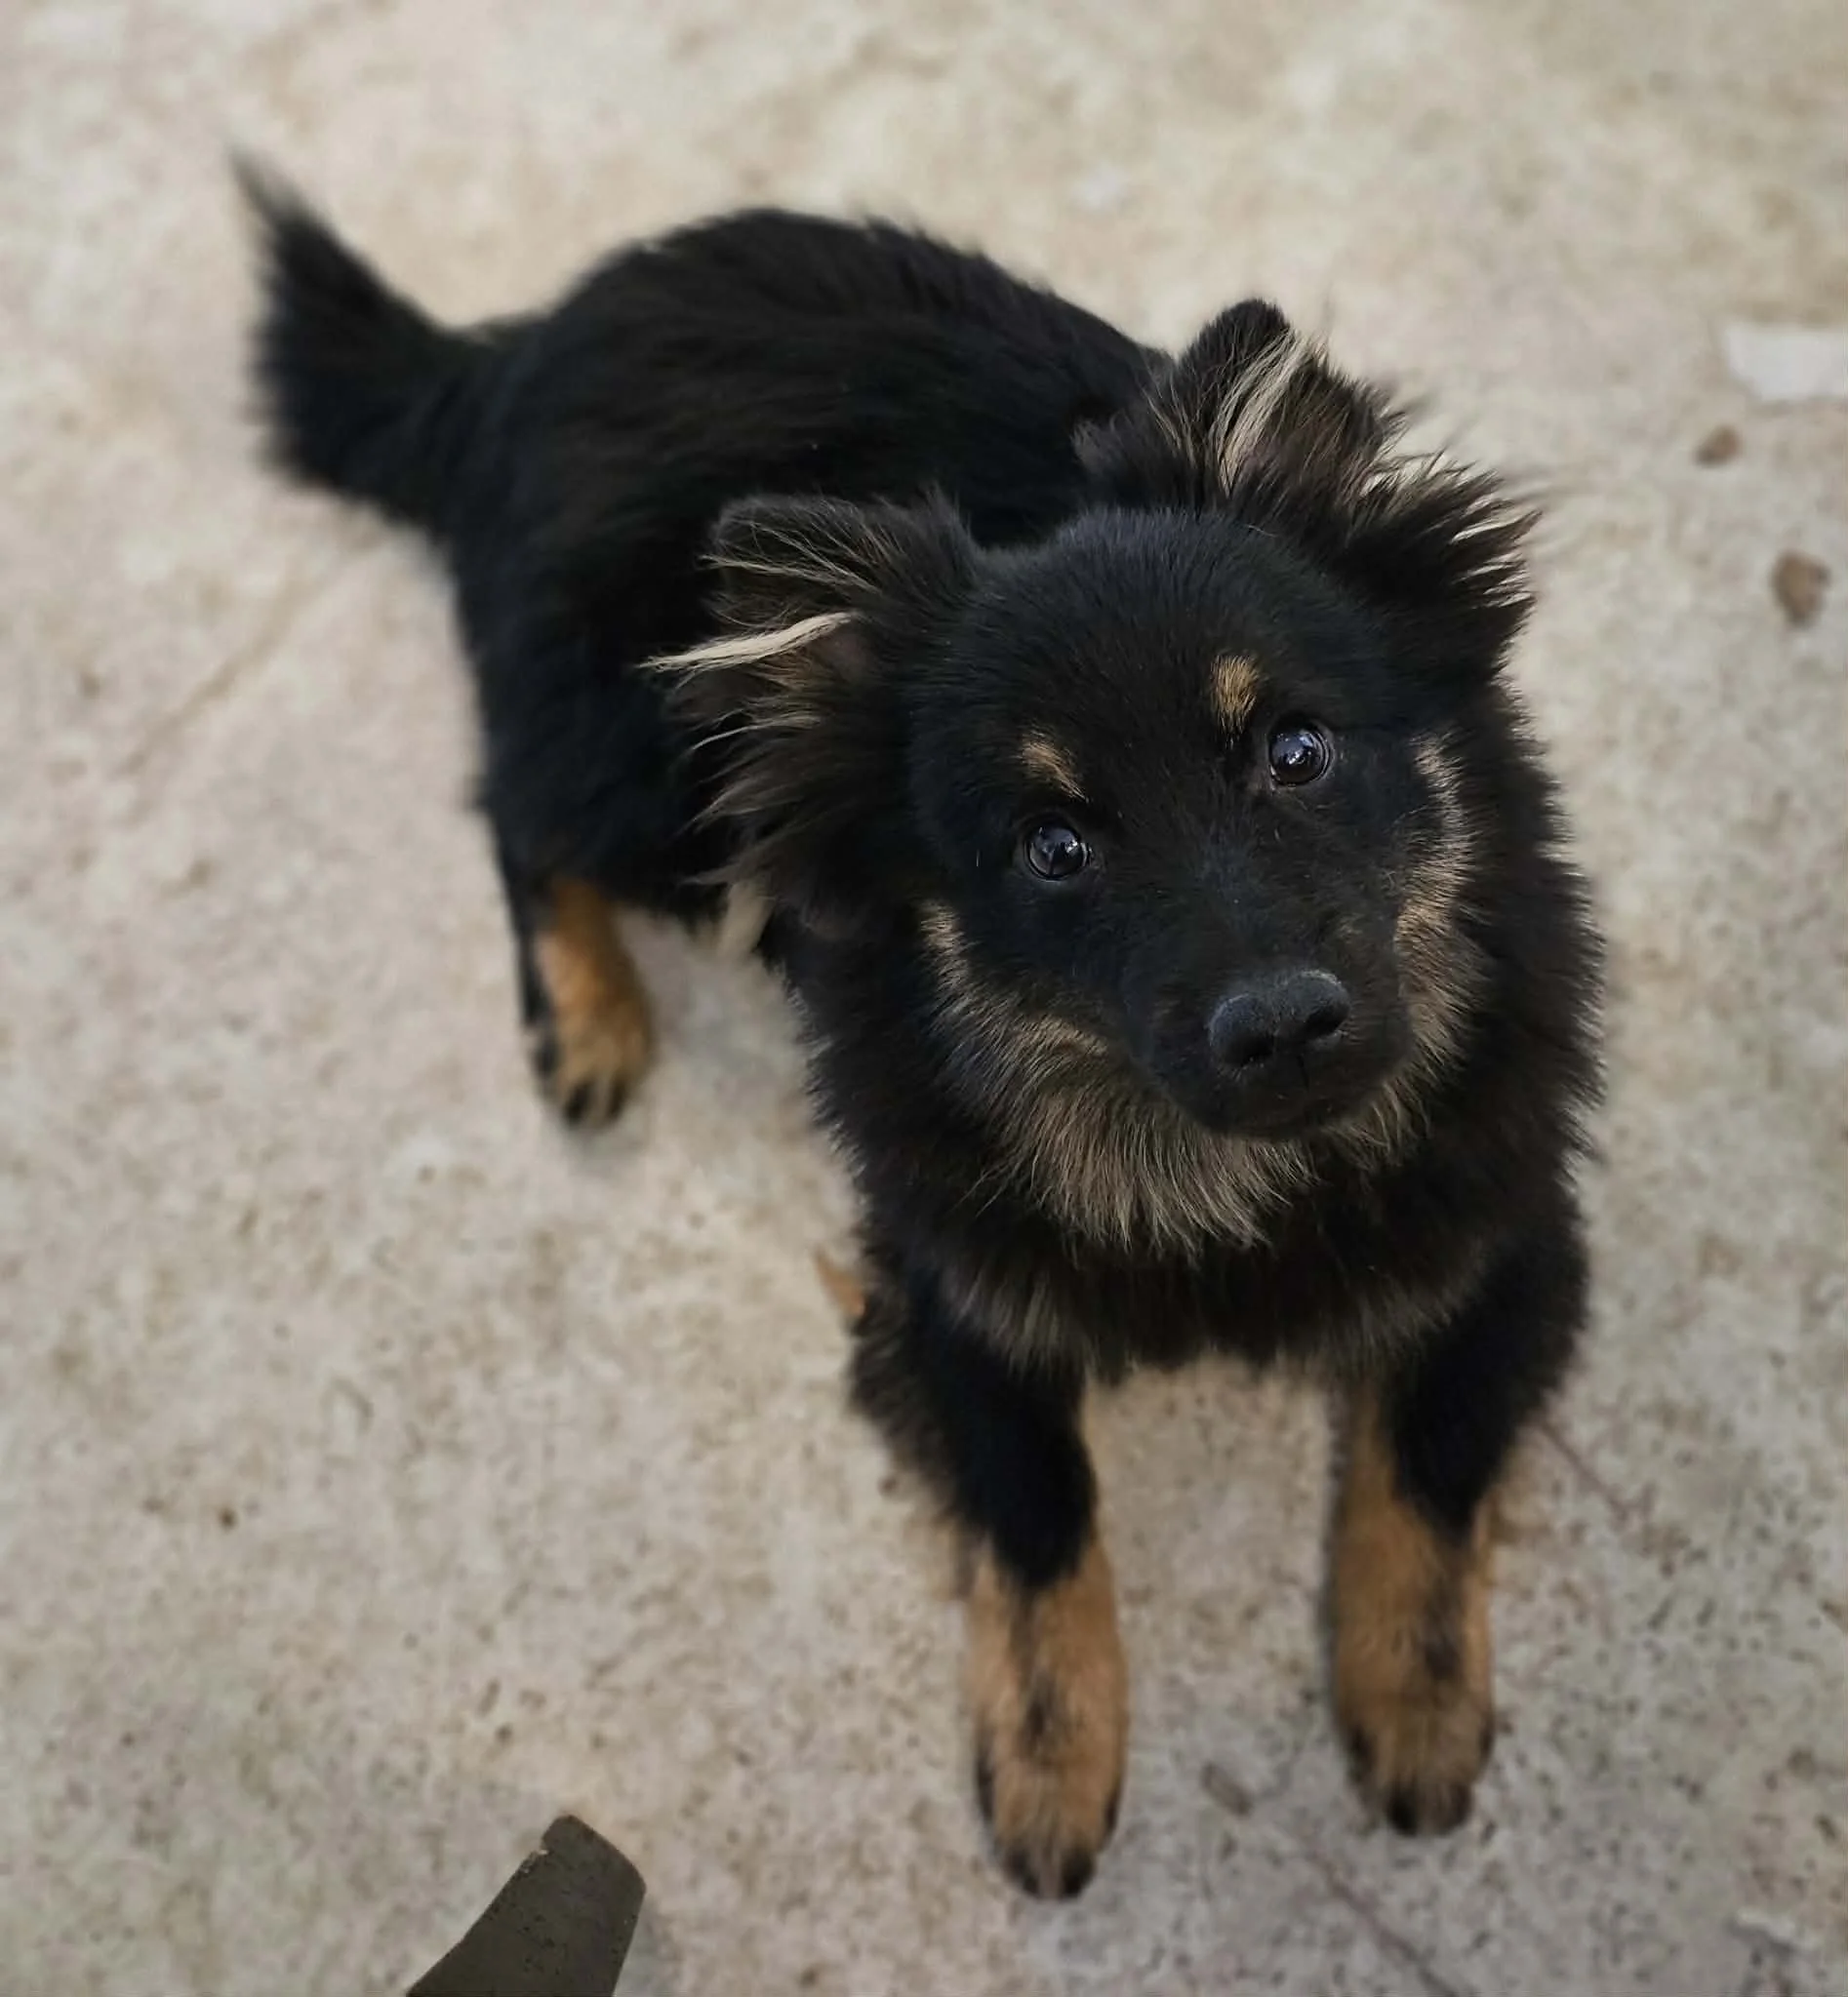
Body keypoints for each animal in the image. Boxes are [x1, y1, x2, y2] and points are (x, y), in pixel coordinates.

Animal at [245, 172, 1601, 1899]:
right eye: (1051, 845)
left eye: (1293, 750)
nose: (1286, 1022)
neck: (1206, 1170)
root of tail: (517, 348)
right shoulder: (949, 1298)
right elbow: (1037, 1519)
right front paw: (1050, 1764)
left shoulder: (1506, 1242)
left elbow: (1422, 1479)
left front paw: (1414, 1710)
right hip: (658, 785)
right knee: (514, 808)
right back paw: (590, 1019)